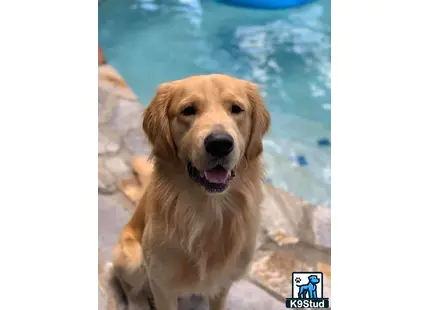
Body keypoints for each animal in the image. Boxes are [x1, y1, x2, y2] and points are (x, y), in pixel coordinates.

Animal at [105, 74, 268, 308]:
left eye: (236, 109)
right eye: (188, 110)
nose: (220, 144)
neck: (209, 211)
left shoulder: (223, 284)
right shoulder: (162, 285)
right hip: (132, 260)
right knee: (128, 286)